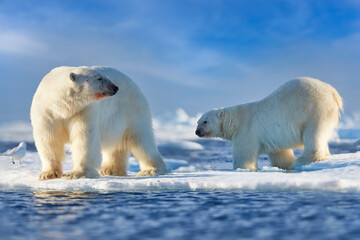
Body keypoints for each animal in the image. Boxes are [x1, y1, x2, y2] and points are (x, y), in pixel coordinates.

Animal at [30, 66, 167, 180]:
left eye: (106, 77)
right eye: (99, 78)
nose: (115, 88)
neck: (63, 106)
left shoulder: (84, 110)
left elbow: (84, 138)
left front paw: (75, 173)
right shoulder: (47, 112)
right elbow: (48, 139)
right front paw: (48, 174)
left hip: (132, 109)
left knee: (141, 140)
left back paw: (150, 170)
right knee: (116, 145)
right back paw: (110, 169)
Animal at [197, 77, 344, 171]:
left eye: (205, 121)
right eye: (198, 122)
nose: (197, 131)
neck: (234, 121)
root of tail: (333, 92)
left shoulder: (246, 131)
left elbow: (244, 153)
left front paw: (242, 168)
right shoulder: (272, 139)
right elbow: (280, 154)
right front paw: (287, 164)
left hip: (314, 109)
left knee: (313, 134)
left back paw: (303, 159)